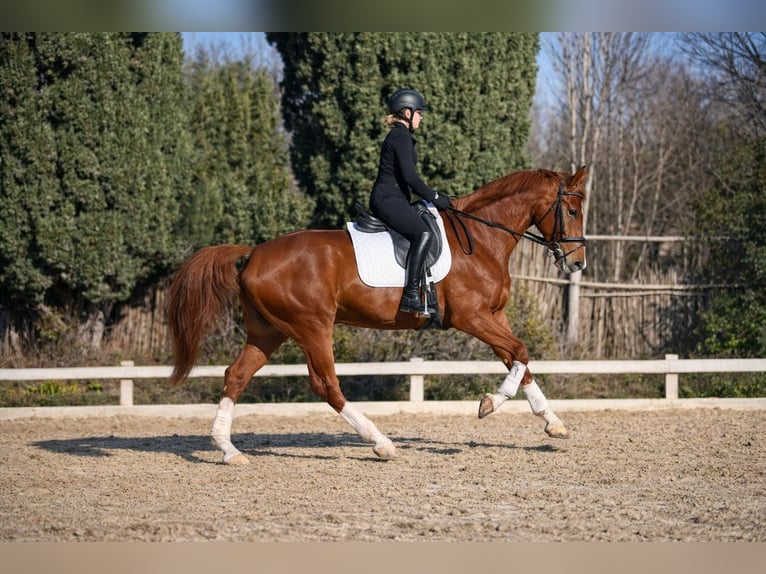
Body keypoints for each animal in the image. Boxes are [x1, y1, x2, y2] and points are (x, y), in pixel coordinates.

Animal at [166, 166, 588, 465]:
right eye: (571, 210)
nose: (578, 263)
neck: (482, 239)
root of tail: (254, 252)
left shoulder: (494, 316)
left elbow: (519, 359)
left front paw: (552, 422)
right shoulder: (472, 317)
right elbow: (520, 352)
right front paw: (490, 403)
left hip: (268, 332)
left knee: (236, 376)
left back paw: (228, 450)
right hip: (312, 326)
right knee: (326, 385)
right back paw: (381, 442)